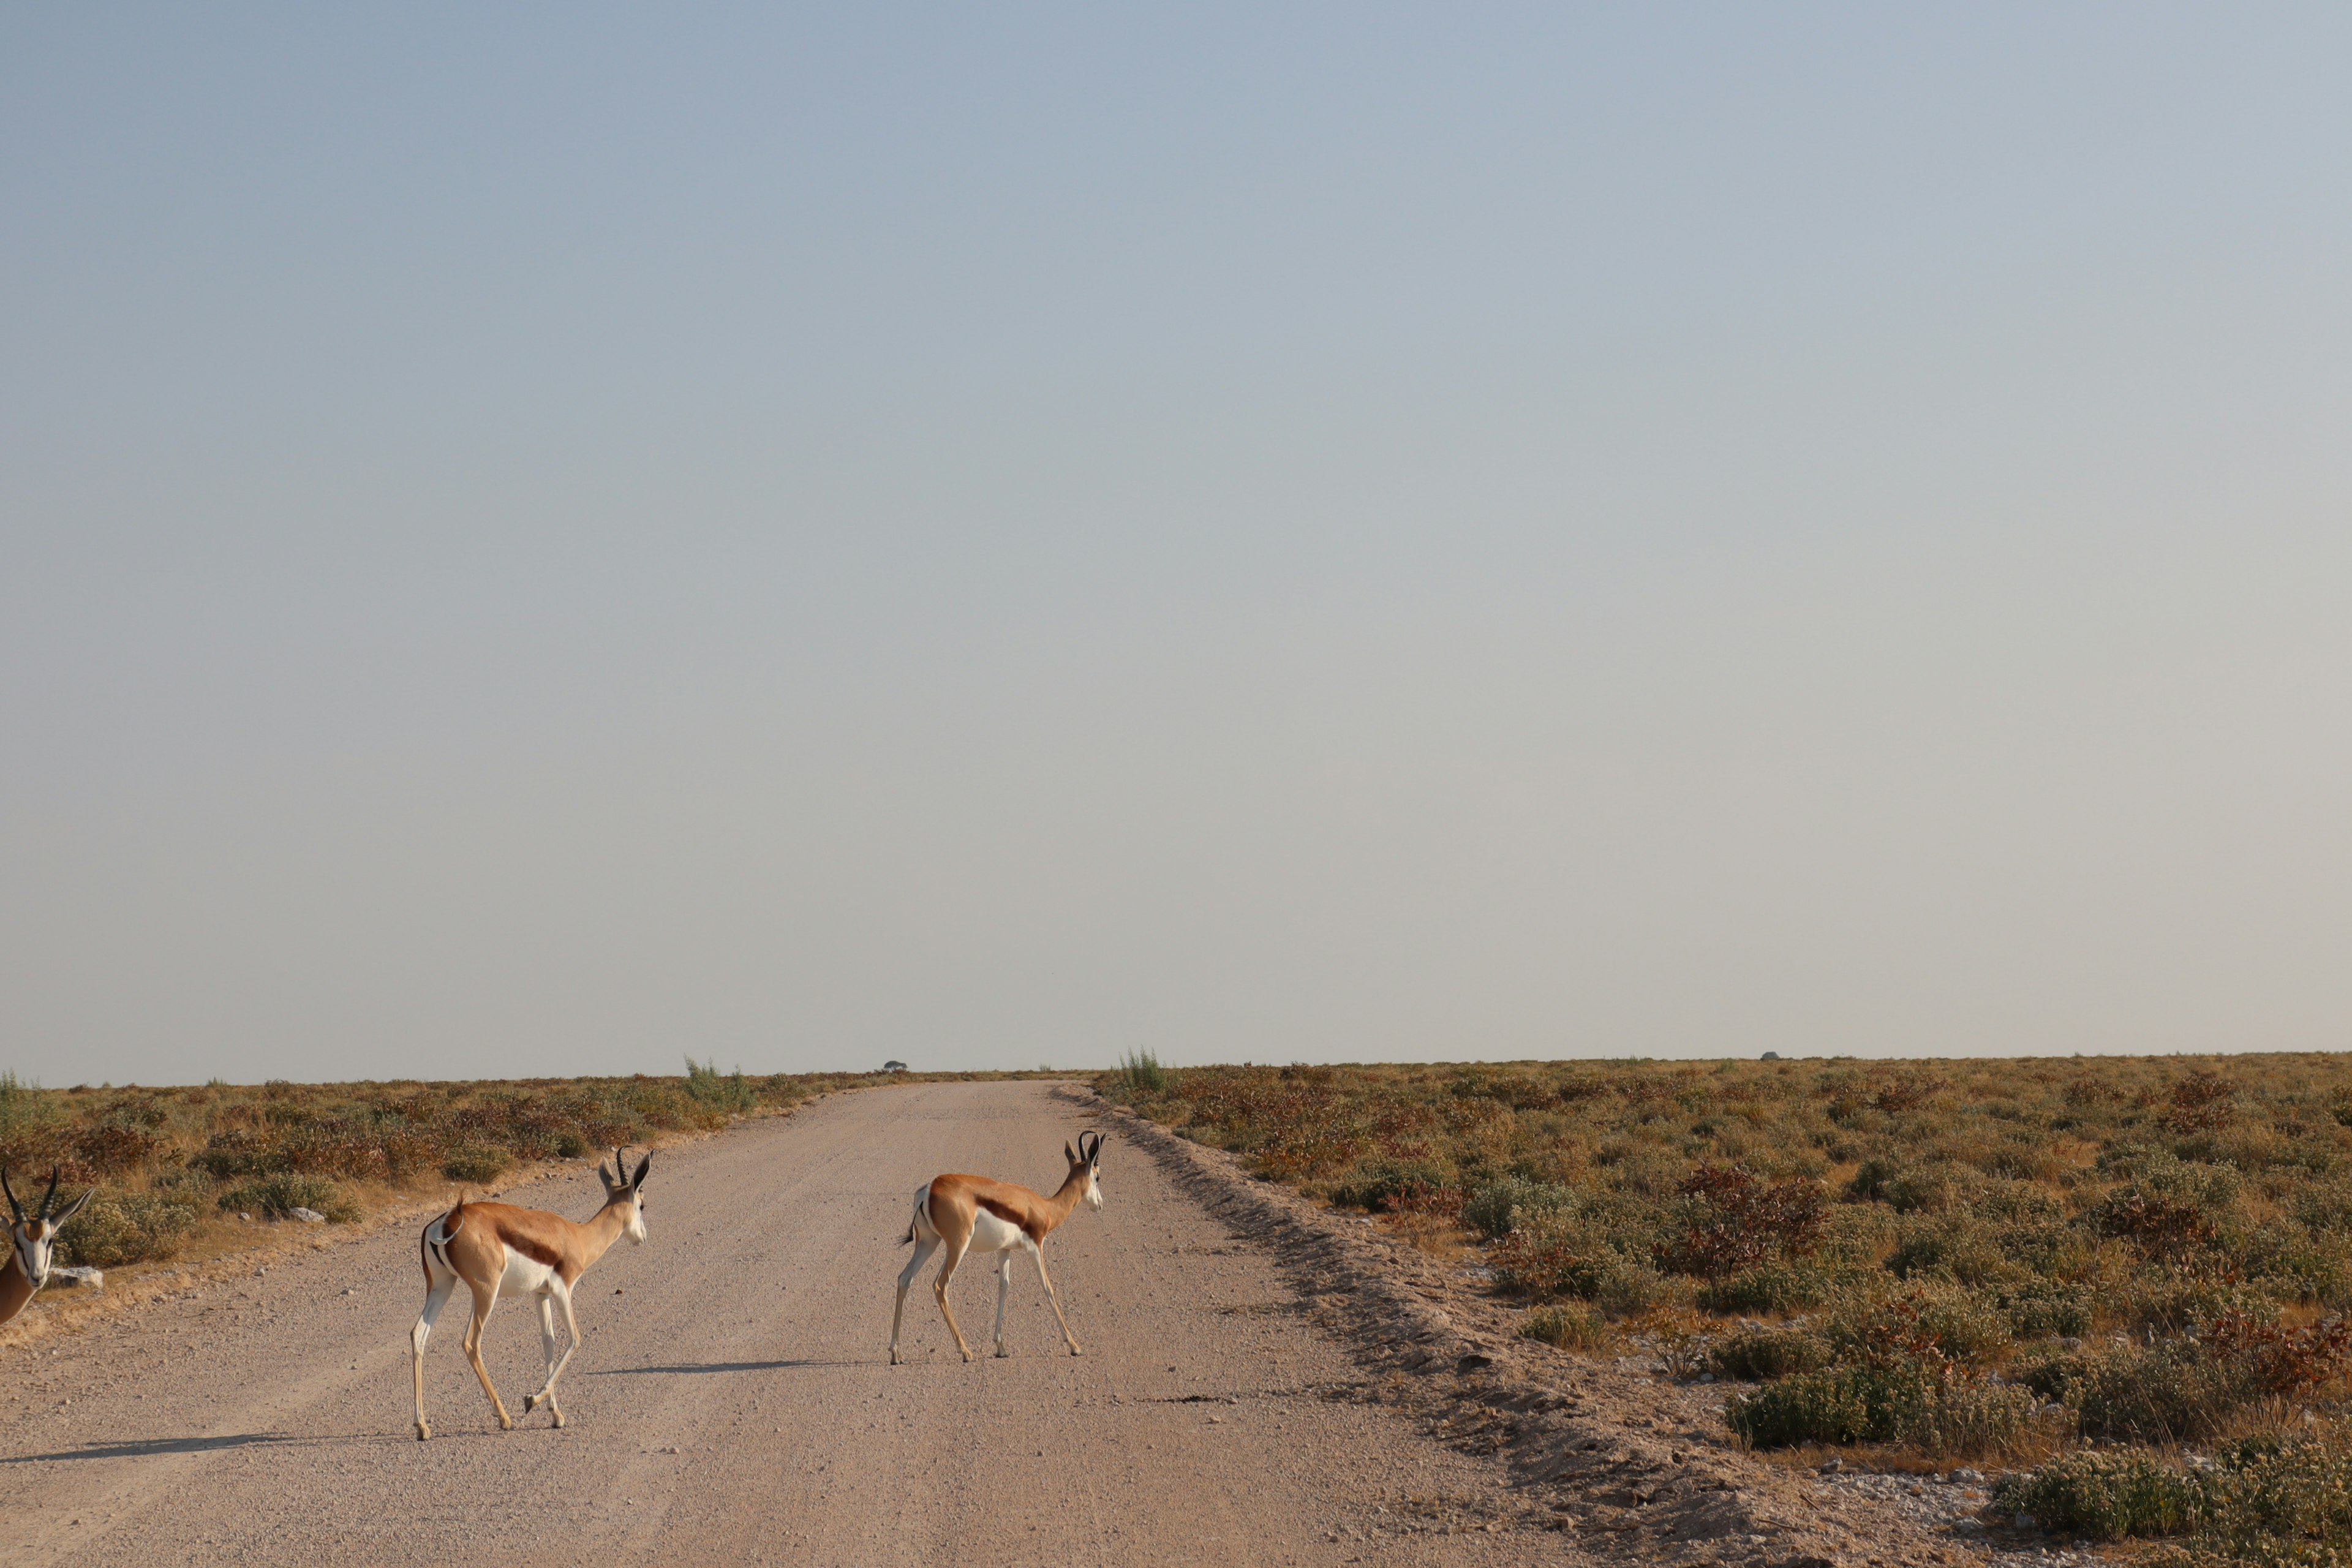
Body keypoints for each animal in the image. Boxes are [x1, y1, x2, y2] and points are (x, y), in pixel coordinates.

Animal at [404, 1147, 644, 1438]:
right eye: (642, 1205)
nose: (642, 1237)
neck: (578, 1237)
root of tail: (449, 1221)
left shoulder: (541, 1294)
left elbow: (548, 1341)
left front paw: (556, 1415)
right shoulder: (563, 1289)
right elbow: (575, 1338)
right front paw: (532, 1400)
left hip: (442, 1285)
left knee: (419, 1335)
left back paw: (422, 1426)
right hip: (486, 1291)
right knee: (471, 1342)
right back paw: (504, 1418)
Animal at [889, 1133, 1101, 1363]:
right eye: (1098, 1177)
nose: (1099, 1204)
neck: (1045, 1208)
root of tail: (929, 1189)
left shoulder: (1004, 1250)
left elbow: (1003, 1286)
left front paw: (1001, 1347)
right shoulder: (1035, 1247)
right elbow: (1047, 1287)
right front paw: (1074, 1345)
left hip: (929, 1243)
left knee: (904, 1279)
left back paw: (896, 1353)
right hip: (957, 1245)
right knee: (940, 1285)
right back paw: (965, 1351)